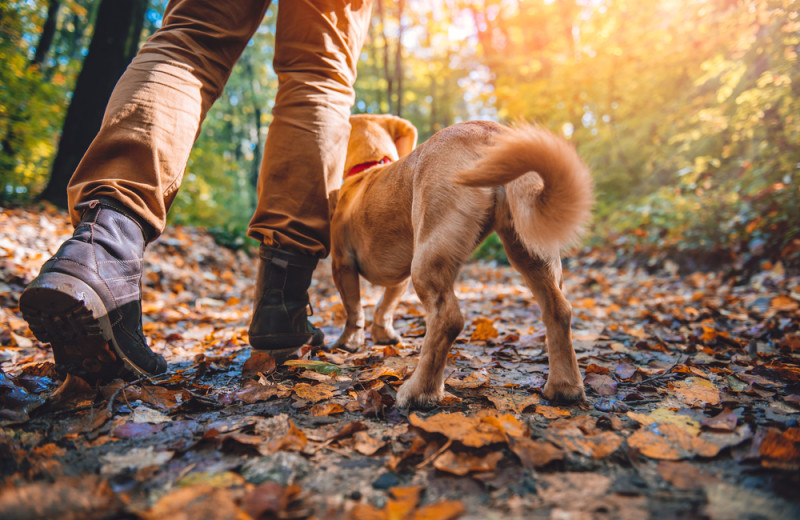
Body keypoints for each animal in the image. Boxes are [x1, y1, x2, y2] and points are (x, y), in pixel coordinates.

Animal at [328, 115, 592, 410]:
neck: (369, 169)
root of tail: (489, 131)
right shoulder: (399, 278)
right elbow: (385, 306)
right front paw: (383, 333)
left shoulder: (342, 263)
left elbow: (354, 310)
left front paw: (348, 342)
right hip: (530, 249)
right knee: (559, 311)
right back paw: (564, 387)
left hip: (428, 256)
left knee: (447, 319)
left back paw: (420, 391)